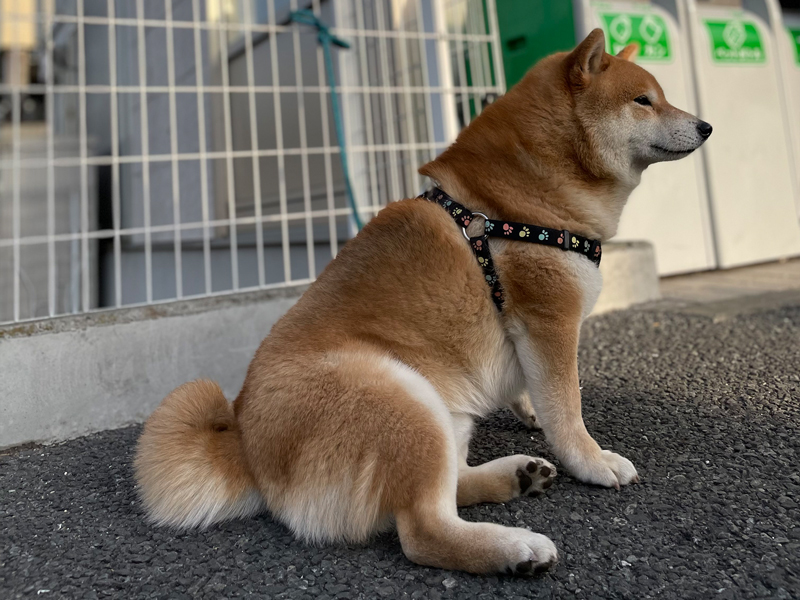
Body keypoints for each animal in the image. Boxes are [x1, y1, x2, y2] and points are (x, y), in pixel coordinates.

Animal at [134, 30, 708, 576]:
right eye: (643, 101)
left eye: (661, 97)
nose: (705, 126)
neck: (516, 198)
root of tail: (247, 448)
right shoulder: (550, 318)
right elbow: (567, 409)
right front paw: (592, 461)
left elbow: (539, 393)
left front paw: (527, 410)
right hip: (402, 401)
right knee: (422, 529)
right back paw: (516, 549)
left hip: (443, 416)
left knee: (446, 489)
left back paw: (518, 477)